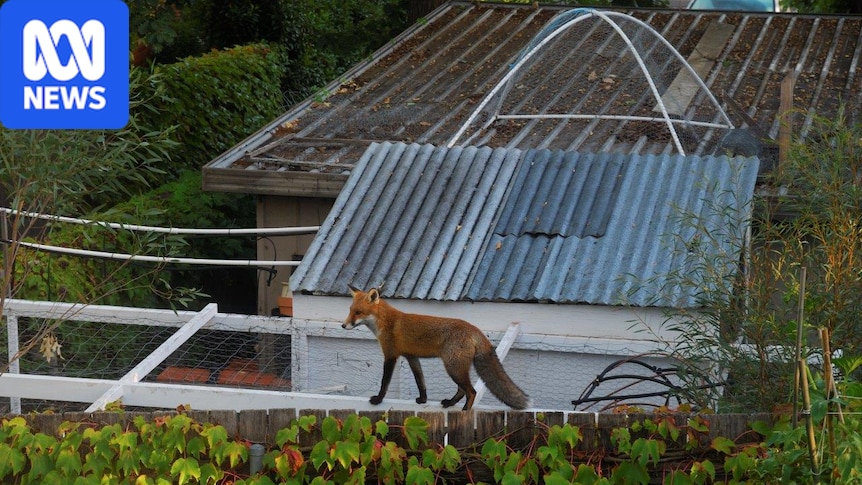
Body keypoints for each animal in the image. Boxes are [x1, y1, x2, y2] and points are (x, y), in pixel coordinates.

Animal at [343, 285, 530, 411]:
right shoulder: (411, 356)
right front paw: (423, 400)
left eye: (358, 312)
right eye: (350, 310)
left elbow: (385, 382)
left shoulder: (390, 355)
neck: (385, 322)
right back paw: (450, 403)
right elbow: (421, 381)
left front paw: (378, 399)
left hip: (453, 367)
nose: (344, 325)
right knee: (462, 390)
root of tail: (474, 328)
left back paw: (465, 412)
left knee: (471, 392)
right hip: (457, 368)